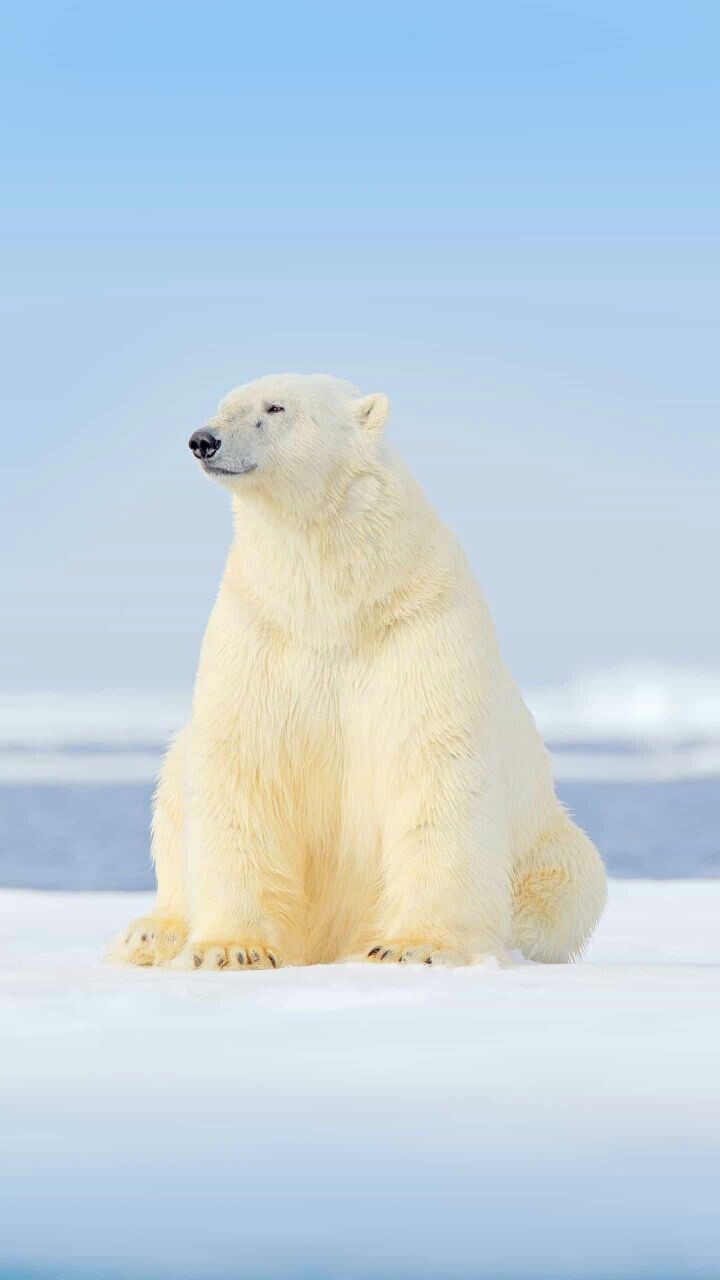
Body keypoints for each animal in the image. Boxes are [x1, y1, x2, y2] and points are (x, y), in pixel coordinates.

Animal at [110, 371, 604, 967]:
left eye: (275, 408)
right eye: (223, 403)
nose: (203, 440)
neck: (336, 606)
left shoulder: (419, 626)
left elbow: (435, 764)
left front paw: (414, 946)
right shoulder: (261, 628)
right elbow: (242, 761)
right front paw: (231, 948)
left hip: (547, 846)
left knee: (570, 885)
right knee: (174, 787)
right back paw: (153, 933)